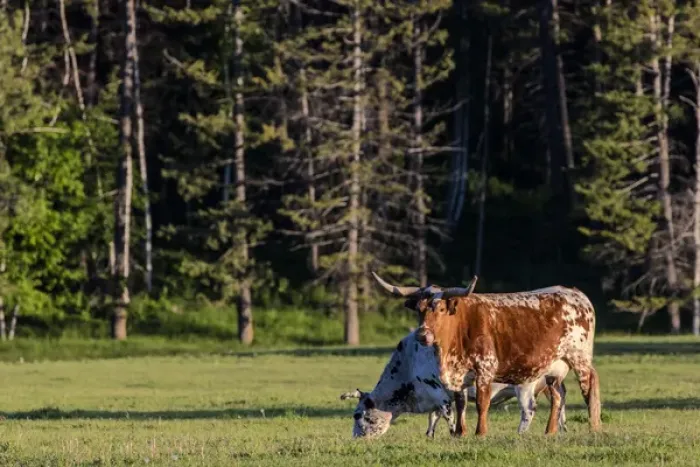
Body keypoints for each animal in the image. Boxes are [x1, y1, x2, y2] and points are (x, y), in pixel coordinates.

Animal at [340, 331, 568, 439]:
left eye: (358, 415)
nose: (355, 438)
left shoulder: (439, 393)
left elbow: (447, 415)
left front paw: (454, 434)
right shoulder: (433, 397)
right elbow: (434, 416)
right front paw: (430, 434)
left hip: (525, 386)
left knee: (529, 409)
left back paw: (521, 432)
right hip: (551, 383)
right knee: (559, 400)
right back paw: (556, 429)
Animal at [371, 272, 601, 437]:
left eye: (441, 309)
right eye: (419, 309)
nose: (422, 335)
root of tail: (575, 294)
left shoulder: (485, 368)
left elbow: (482, 402)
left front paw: (480, 432)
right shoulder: (459, 376)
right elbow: (460, 403)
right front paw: (460, 433)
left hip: (579, 357)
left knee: (589, 386)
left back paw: (594, 426)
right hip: (553, 368)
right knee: (558, 395)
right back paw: (550, 432)